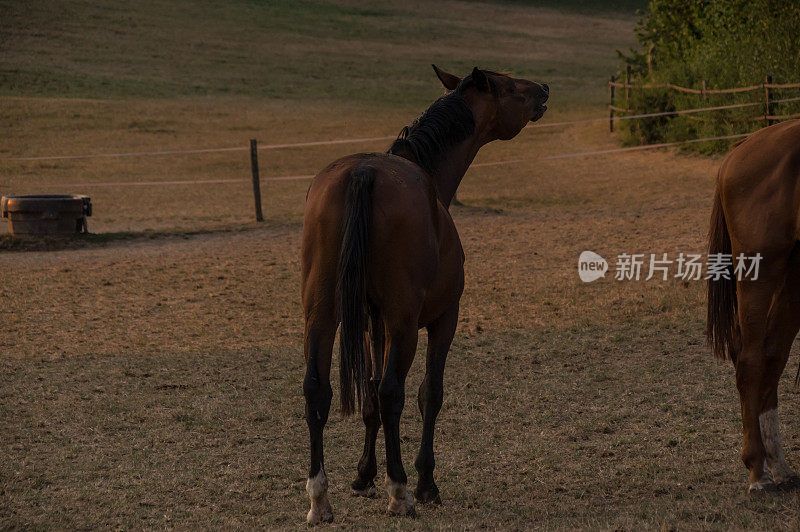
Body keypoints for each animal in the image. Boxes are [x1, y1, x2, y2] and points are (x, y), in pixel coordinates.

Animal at [300, 64, 552, 520]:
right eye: (510, 86)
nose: (542, 88)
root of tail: (363, 173)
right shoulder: (442, 320)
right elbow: (427, 395)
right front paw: (425, 483)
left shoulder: (374, 324)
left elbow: (368, 398)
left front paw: (363, 476)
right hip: (403, 323)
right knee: (392, 393)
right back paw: (400, 492)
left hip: (322, 314)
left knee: (318, 391)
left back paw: (319, 497)